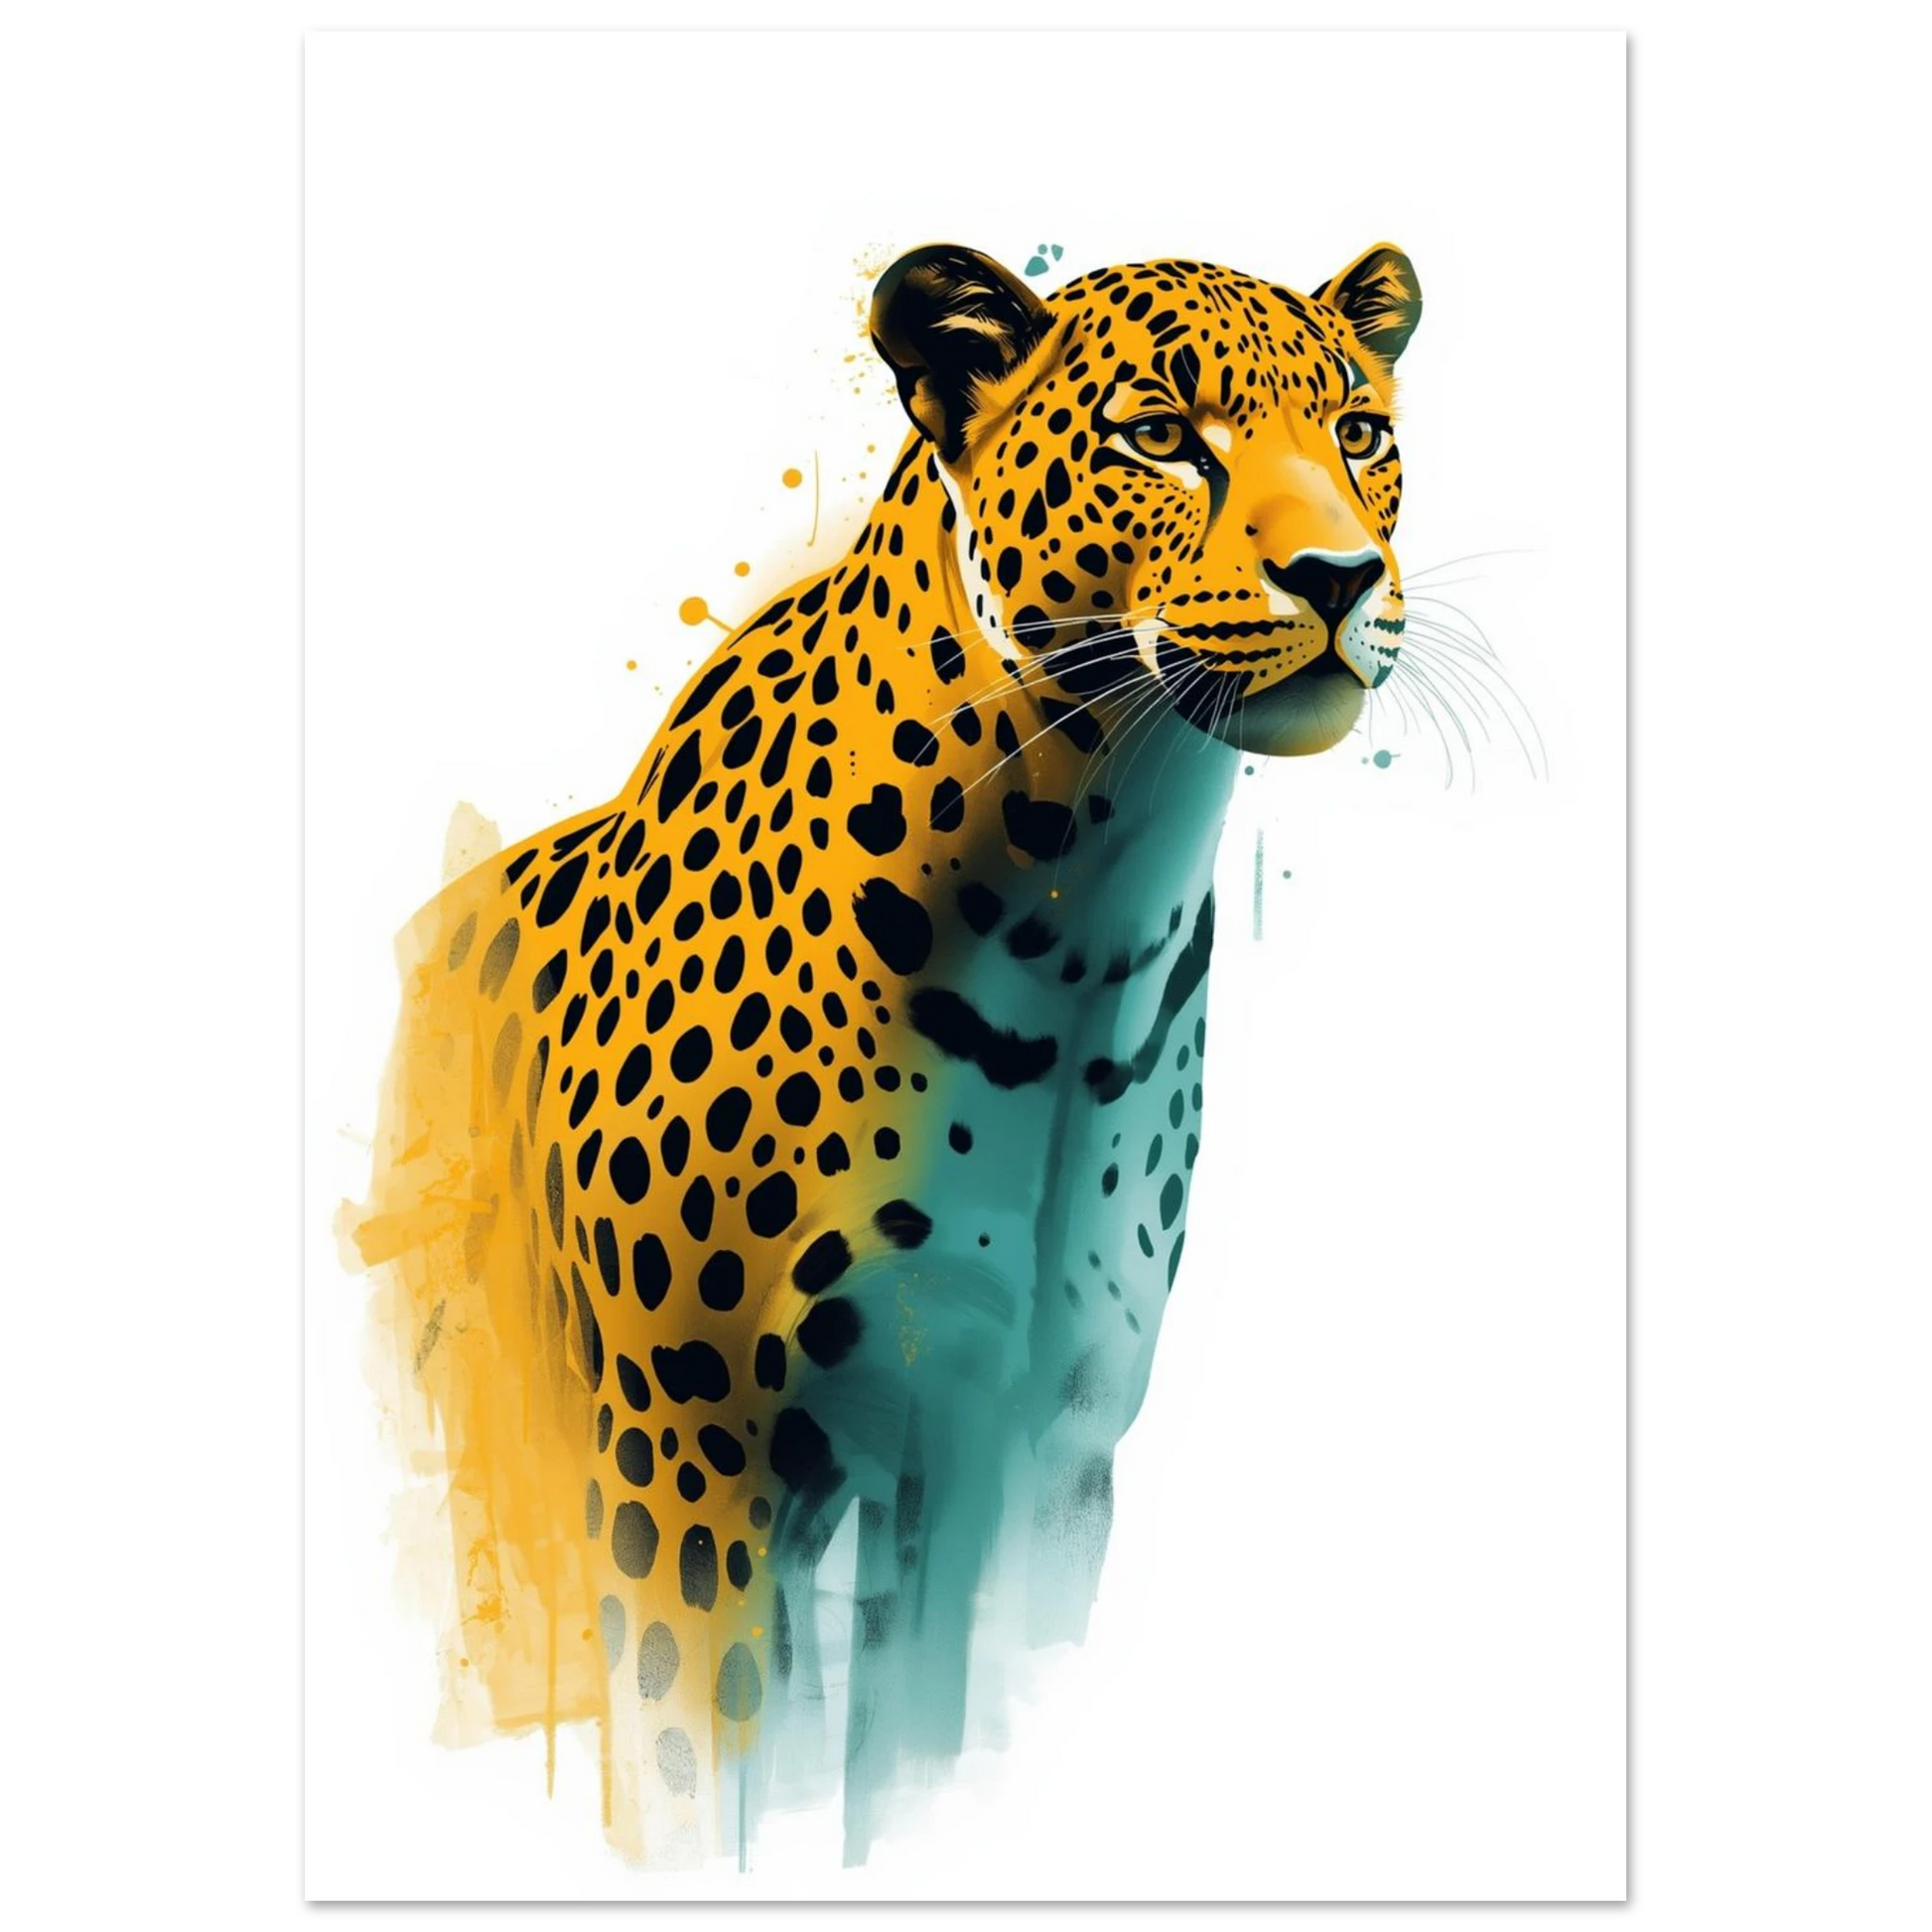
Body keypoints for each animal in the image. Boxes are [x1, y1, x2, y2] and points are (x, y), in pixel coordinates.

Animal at [354, 239, 1423, 1869]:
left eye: (1357, 433)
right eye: (1156, 435)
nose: (1338, 577)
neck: (1080, 918)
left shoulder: (1036, 1447)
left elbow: (937, 1746)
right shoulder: (686, 1455)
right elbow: (688, 1763)